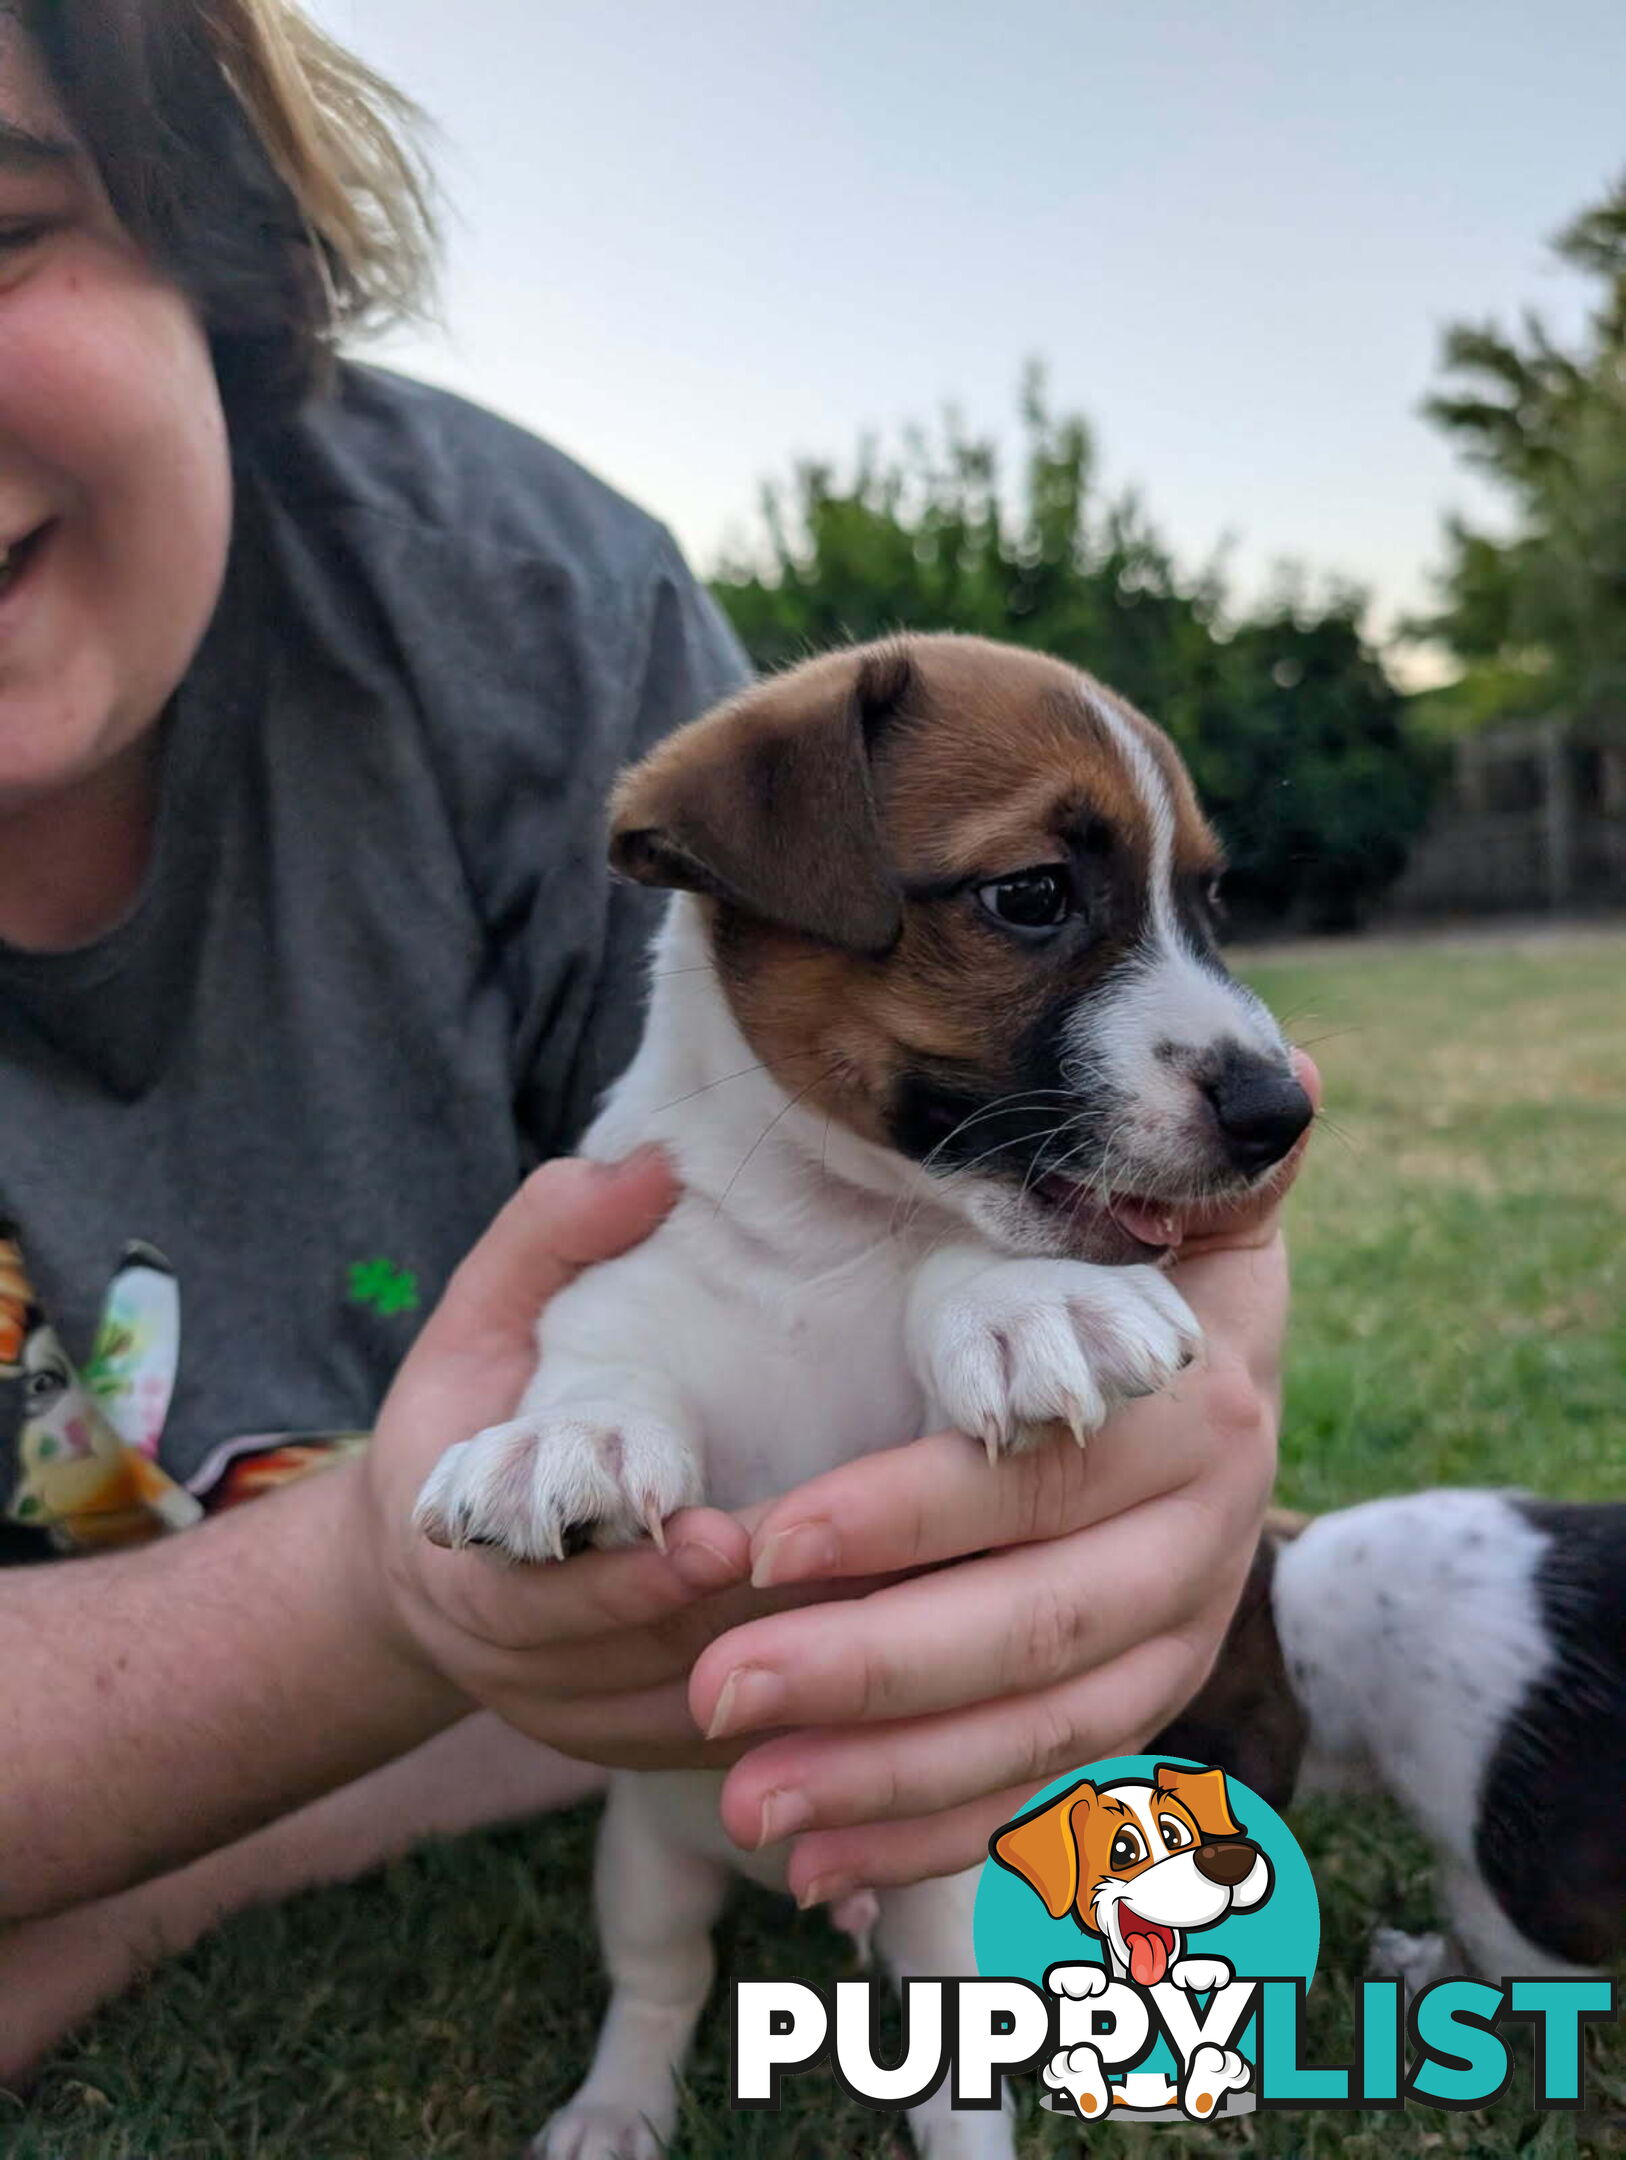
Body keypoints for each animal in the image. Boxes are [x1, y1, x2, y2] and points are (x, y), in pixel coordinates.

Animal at [412, 630, 1312, 2151]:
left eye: (1207, 903)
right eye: (1033, 895)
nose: (1279, 1114)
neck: (816, 1233)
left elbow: (966, 1252)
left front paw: (1025, 1303)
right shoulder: (609, 1286)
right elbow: (598, 1360)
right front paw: (563, 1440)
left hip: (948, 1899)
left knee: (961, 2055)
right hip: (645, 1862)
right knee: (658, 1979)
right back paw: (614, 2105)